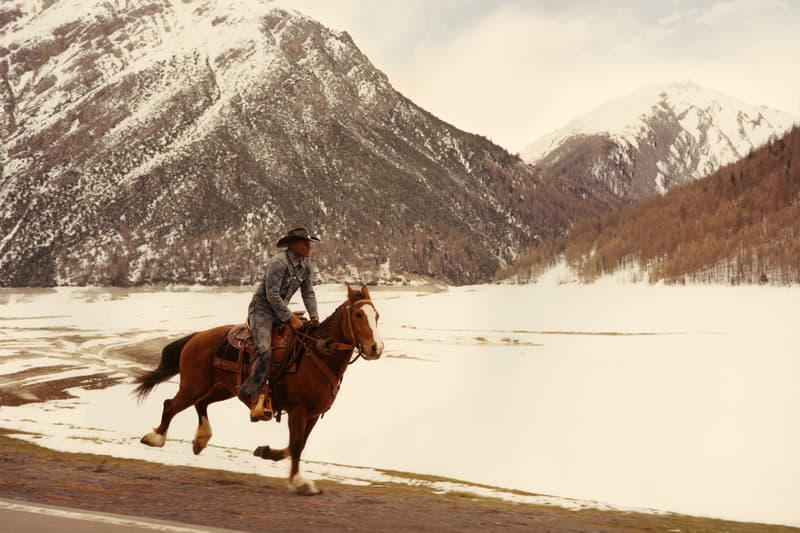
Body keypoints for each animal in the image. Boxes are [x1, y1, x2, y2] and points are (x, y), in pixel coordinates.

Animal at [133, 284, 382, 492]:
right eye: (358, 314)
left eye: (377, 315)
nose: (376, 348)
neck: (317, 354)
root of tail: (197, 337)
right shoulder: (298, 411)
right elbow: (296, 445)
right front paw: (299, 482)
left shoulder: (312, 415)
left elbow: (296, 446)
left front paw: (266, 452)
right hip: (193, 386)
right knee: (171, 405)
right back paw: (154, 438)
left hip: (223, 389)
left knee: (200, 403)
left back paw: (200, 440)